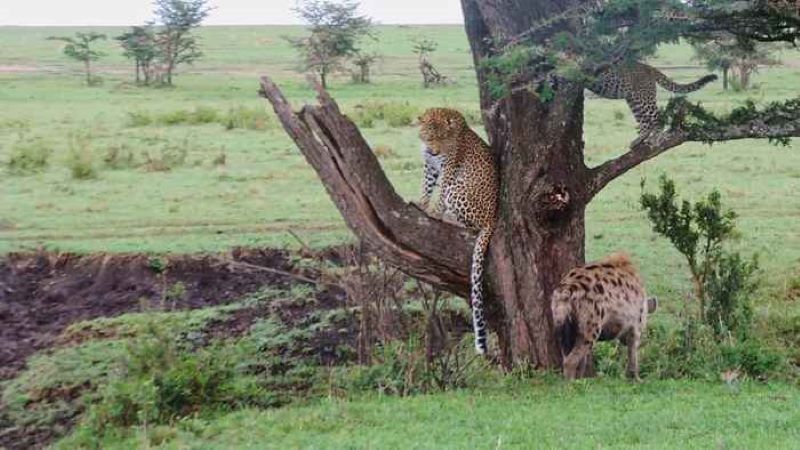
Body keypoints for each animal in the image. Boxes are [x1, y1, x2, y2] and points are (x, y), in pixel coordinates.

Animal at [416, 107, 496, 354]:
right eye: (429, 137)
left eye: (443, 138)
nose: (434, 151)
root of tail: (493, 219)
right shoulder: (429, 166)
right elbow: (426, 187)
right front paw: (421, 204)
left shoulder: (449, 167)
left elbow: (440, 191)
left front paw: (433, 212)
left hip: (459, 188)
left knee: (469, 224)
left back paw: (448, 218)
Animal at [588, 61, 720, 139]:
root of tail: (648, 67)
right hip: (633, 99)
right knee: (644, 121)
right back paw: (639, 139)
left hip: (644, 97)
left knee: (657, 117)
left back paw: (655, 137)